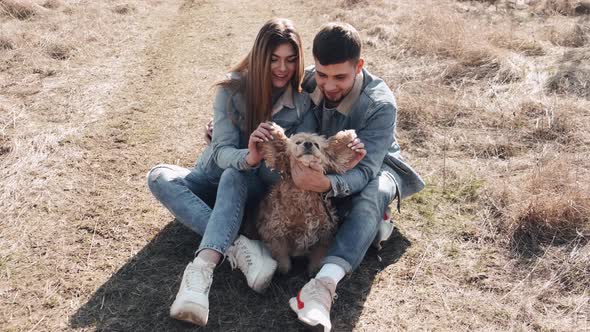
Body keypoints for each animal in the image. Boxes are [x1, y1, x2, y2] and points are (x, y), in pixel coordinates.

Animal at [260, 123, 360, 274]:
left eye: (317, 145)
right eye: (297, 142)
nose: (308, 143)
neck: (303, 195)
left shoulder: (325, 232)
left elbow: (319, 254)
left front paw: (315, 269)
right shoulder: (275, 229)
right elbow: (281, 252)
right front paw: (283, 268)